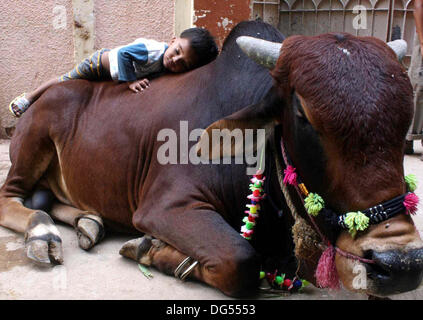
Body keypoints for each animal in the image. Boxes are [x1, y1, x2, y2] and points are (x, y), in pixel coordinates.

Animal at [0, 21, 423, 298]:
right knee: (11, 197)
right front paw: (149, 248)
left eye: (406, 120)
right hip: (32, 141)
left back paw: (90, 222)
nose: (400, 264)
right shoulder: (165, 205)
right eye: (303, 115)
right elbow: (241, 260)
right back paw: (42, 232)